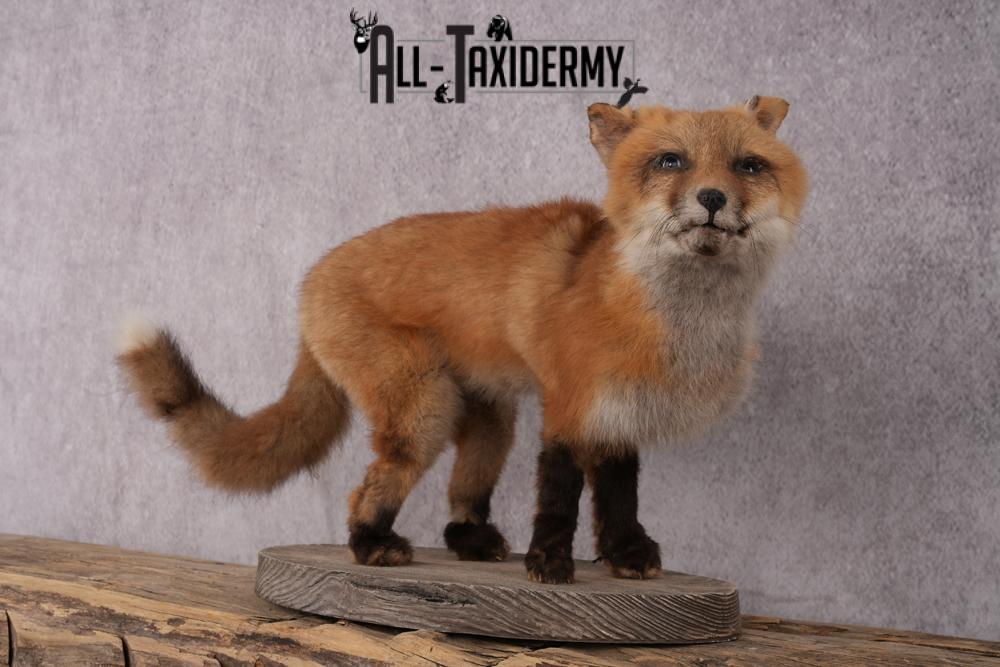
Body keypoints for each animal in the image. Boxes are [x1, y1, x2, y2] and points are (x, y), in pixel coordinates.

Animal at [119, 96, 808, 584]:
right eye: (671, 161)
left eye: (748, 165)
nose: (712, 198)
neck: (674, 320)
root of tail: (312, 278)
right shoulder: (569, 408)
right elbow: (560, 497)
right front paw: (549, 565)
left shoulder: (615, 416)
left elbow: (619, 497)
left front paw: (626, 554)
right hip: (424, 409)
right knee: (369, 486)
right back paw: (372, 543)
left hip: (488, 419)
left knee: (461, 499)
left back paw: (471, 540)